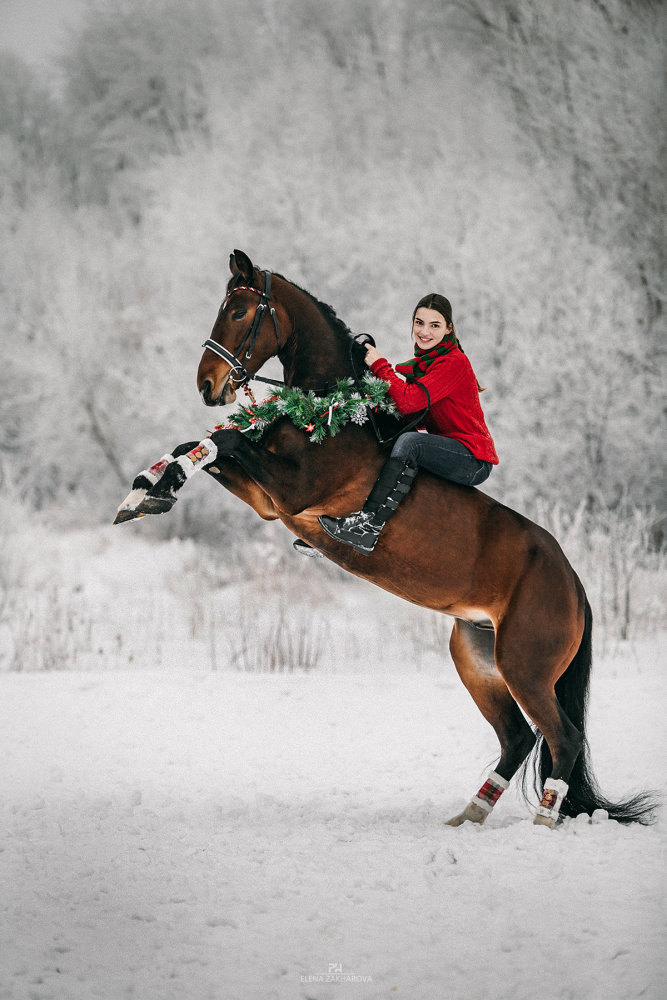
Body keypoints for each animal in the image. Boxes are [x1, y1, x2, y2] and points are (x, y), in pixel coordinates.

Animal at [116, 248, 656, 828]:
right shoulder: (267, 499)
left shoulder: (289, 493)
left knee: (563, 738)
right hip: (478, 657)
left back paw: (542, 823)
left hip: (525, 666)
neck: (330, 411)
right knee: (517, 738)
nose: (207, 384)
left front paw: (153, 488)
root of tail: (575, 584)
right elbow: (202, 444)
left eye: (238, 311)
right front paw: (145, 492)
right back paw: (467, 817)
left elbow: (227, 441)